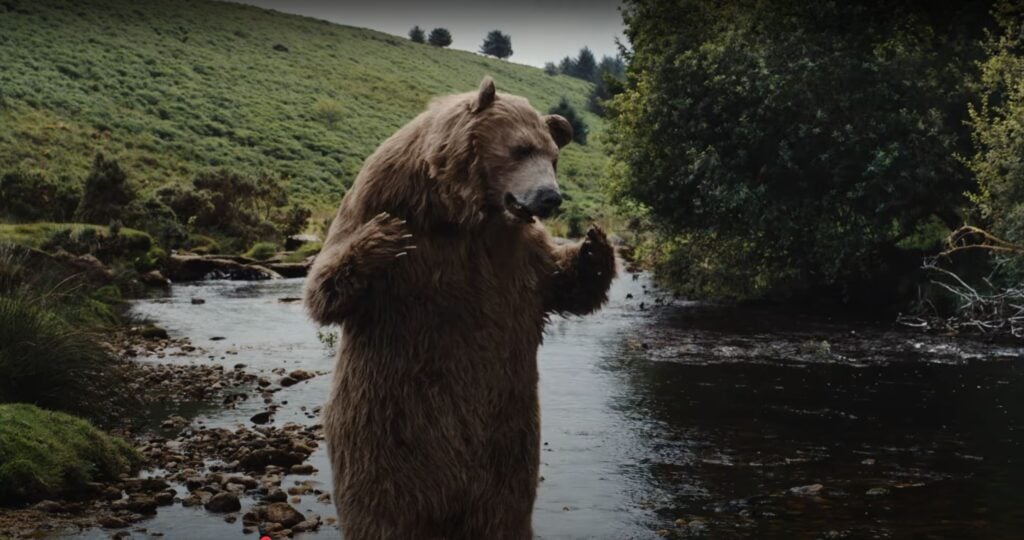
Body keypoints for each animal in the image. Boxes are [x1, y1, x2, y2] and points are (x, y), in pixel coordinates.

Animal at [304, 76, 616, 539]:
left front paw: (594, 245)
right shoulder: (377, 196)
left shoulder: (516, 254)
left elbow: (563, 285)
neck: (463, 212)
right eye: (521, 148)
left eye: (554, 157)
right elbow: (324, 287)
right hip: (380, 429)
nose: (550, 198)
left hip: (510, 443)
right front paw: (384, 238)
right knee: (382, 508)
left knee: (503, 511)